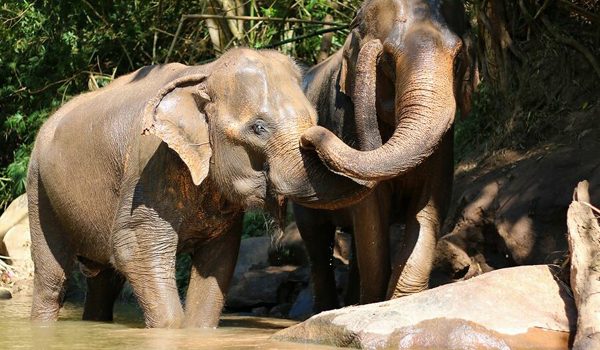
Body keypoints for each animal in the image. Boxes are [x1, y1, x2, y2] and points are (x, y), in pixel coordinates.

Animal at [28, 48, 370, 328]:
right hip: (38, 187)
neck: (206, 72)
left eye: (313, 118)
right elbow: (133, 249)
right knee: (52, 280)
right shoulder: (149, 163)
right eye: (258, 128)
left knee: (103, 283)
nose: (315, 136)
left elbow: (218, 260)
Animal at [294, 0, 478, 312]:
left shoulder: (444, 144)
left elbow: (430, 204)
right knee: (316, 240)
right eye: (388, 60)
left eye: (457, 59)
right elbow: (371, 211)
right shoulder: (346, 116)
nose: (307, 138)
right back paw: (328, 309)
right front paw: (373, 304)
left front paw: (398, 302)